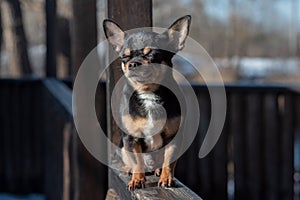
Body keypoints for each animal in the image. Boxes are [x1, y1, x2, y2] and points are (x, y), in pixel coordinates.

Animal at [104, 14, 191, 190]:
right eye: (124, 57)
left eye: (151, 55)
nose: (133, 63)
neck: (148, 93)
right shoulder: (132, 139)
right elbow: (137, 161)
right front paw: (137, 179)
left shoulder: (173, 138)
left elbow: (168, 161)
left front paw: (166, 178)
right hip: (122, 147)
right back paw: (130, 169)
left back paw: (157, 170)